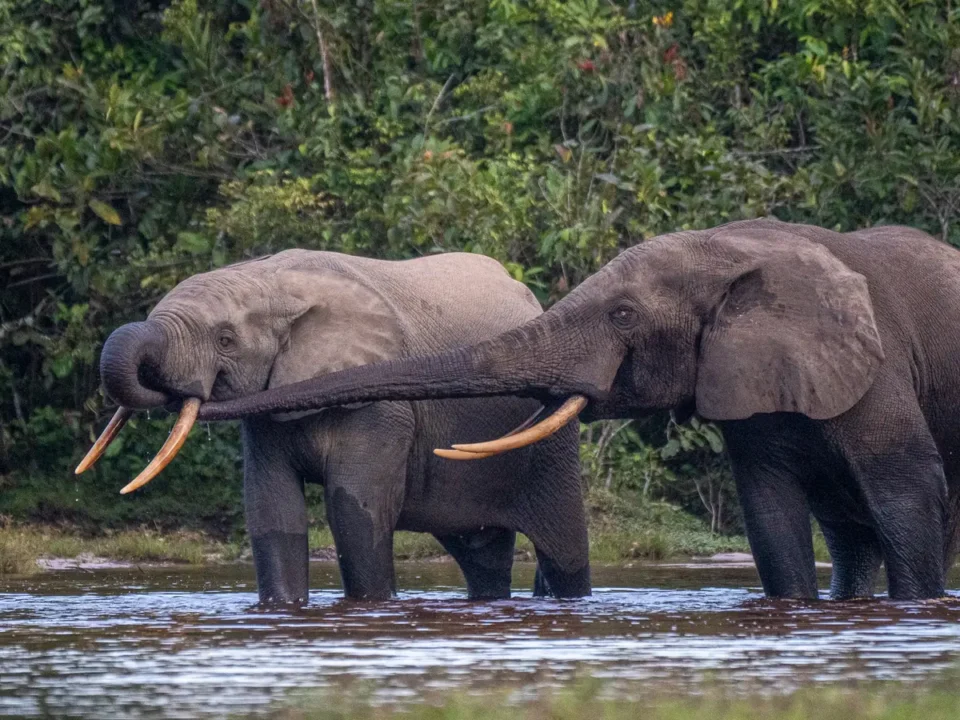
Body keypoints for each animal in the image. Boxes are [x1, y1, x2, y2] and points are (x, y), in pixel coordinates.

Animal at [76, 250, 590, 603]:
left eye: (225, 340)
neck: (272, 280)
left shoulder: (382, 407)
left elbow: (353, 510)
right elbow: (272, 510)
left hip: (551, 444)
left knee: (562, 549)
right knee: (480, 552)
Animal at [198, 218, 960, 601]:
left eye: (623, 314)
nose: (201, 390)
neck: (742, 250)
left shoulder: (878, 364)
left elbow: (908, 489)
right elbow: (769, 511)